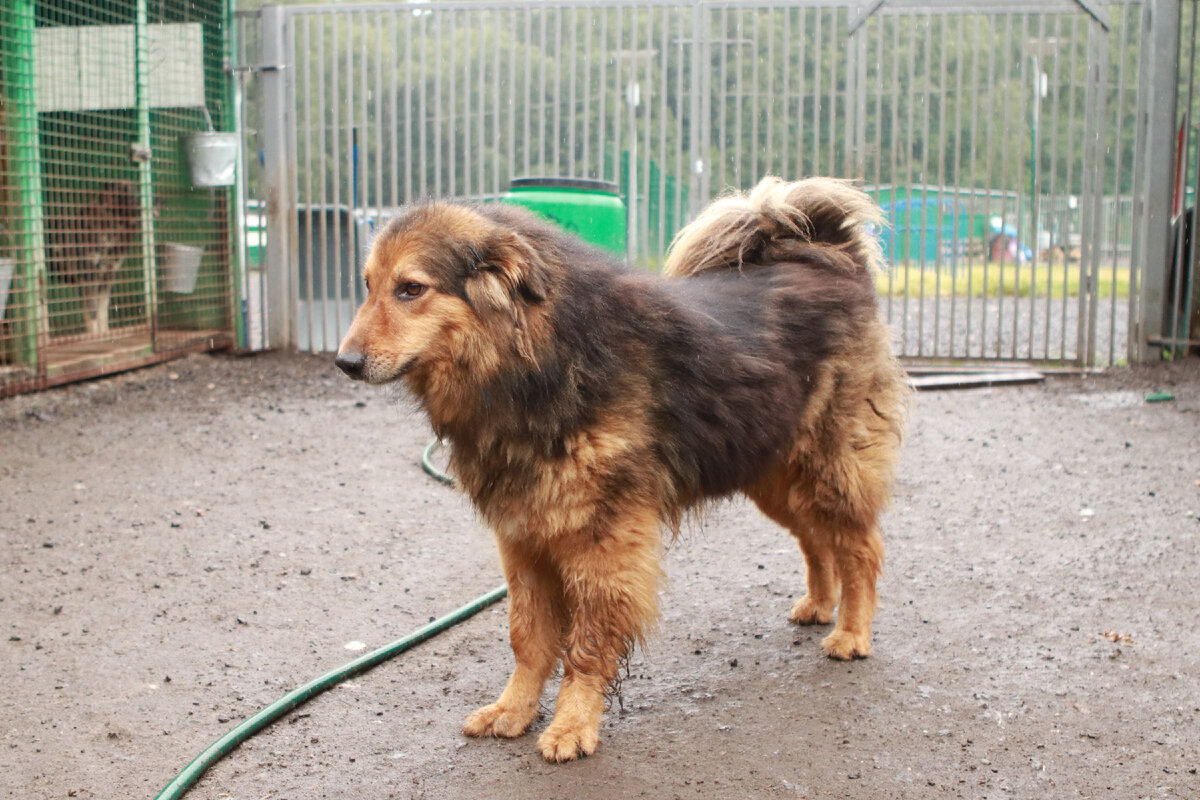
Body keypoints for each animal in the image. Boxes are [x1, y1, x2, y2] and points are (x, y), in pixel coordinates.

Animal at [333, 176, 902, 762]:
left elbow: (585, 645)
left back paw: (852, 632)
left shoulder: (602, 542)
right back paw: (819, 604)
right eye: (368, 285)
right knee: (817, 539)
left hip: (829, 469)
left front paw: (572, 724)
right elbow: (527, 637)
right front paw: (514, 709)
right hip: (772, 475)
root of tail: (830, 256)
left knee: (860, 546)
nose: (344, 363)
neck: (537, 364)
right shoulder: (523, 537)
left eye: (411, 289)